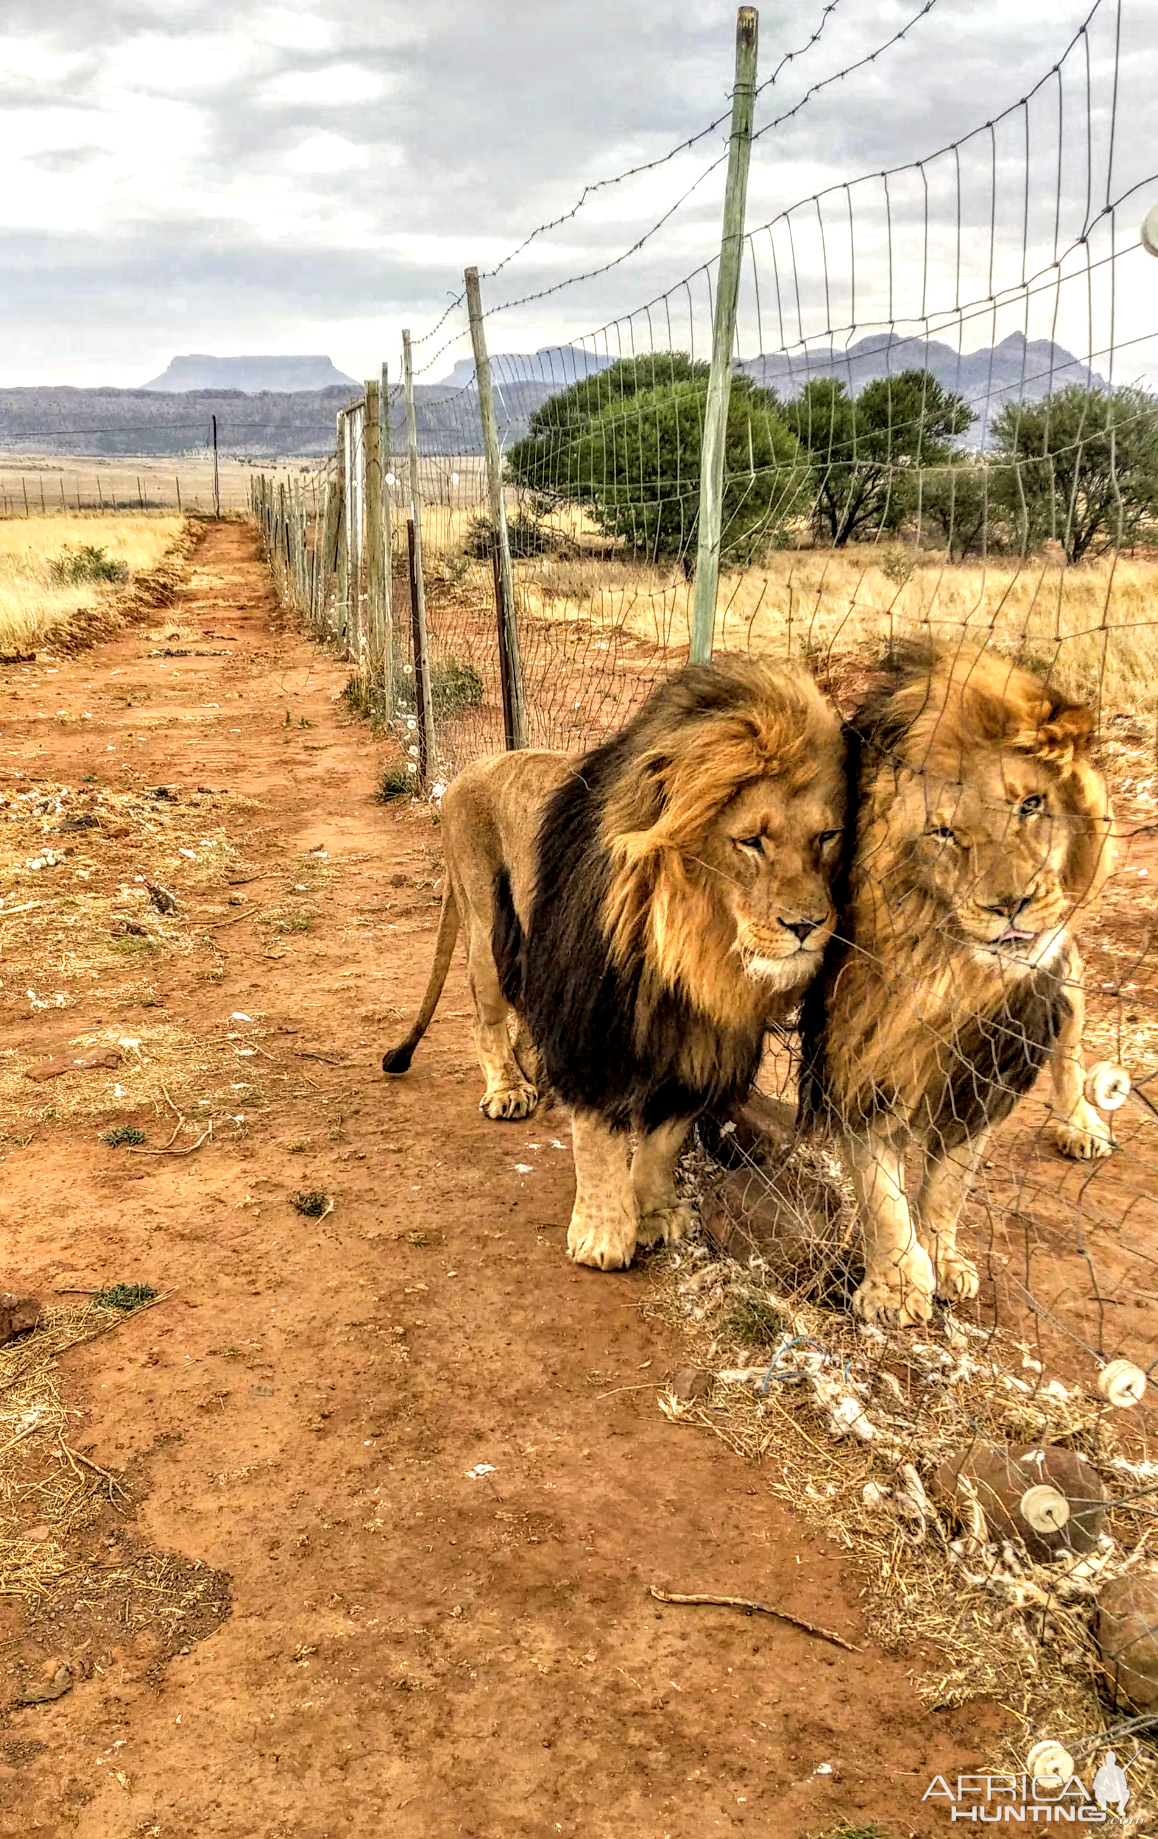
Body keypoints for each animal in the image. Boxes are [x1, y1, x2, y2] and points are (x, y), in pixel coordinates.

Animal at [386, 654, 849, 1272]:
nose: (807, 926)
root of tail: (466, 773)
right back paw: (509, 1087)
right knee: (485, 1014)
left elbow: (662, 1143)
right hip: (485, 925)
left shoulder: (697, 1048)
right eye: (751, 841)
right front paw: (603, 1235)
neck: (690, 957)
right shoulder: (594, 1027)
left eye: (827, 836)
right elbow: (599, 1139)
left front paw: (655, 1214)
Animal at [801, 643, 1117, 1324]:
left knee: (1073, 1030)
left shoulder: (989, 1066)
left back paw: (1080, 1122)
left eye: (1032, 805)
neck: (944, 972)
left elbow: (949, 1182)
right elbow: (879, 1188)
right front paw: (897, 1285)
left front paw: (940, 1259)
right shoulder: (859, 1046)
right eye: (945, 832)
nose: (1012, 905)